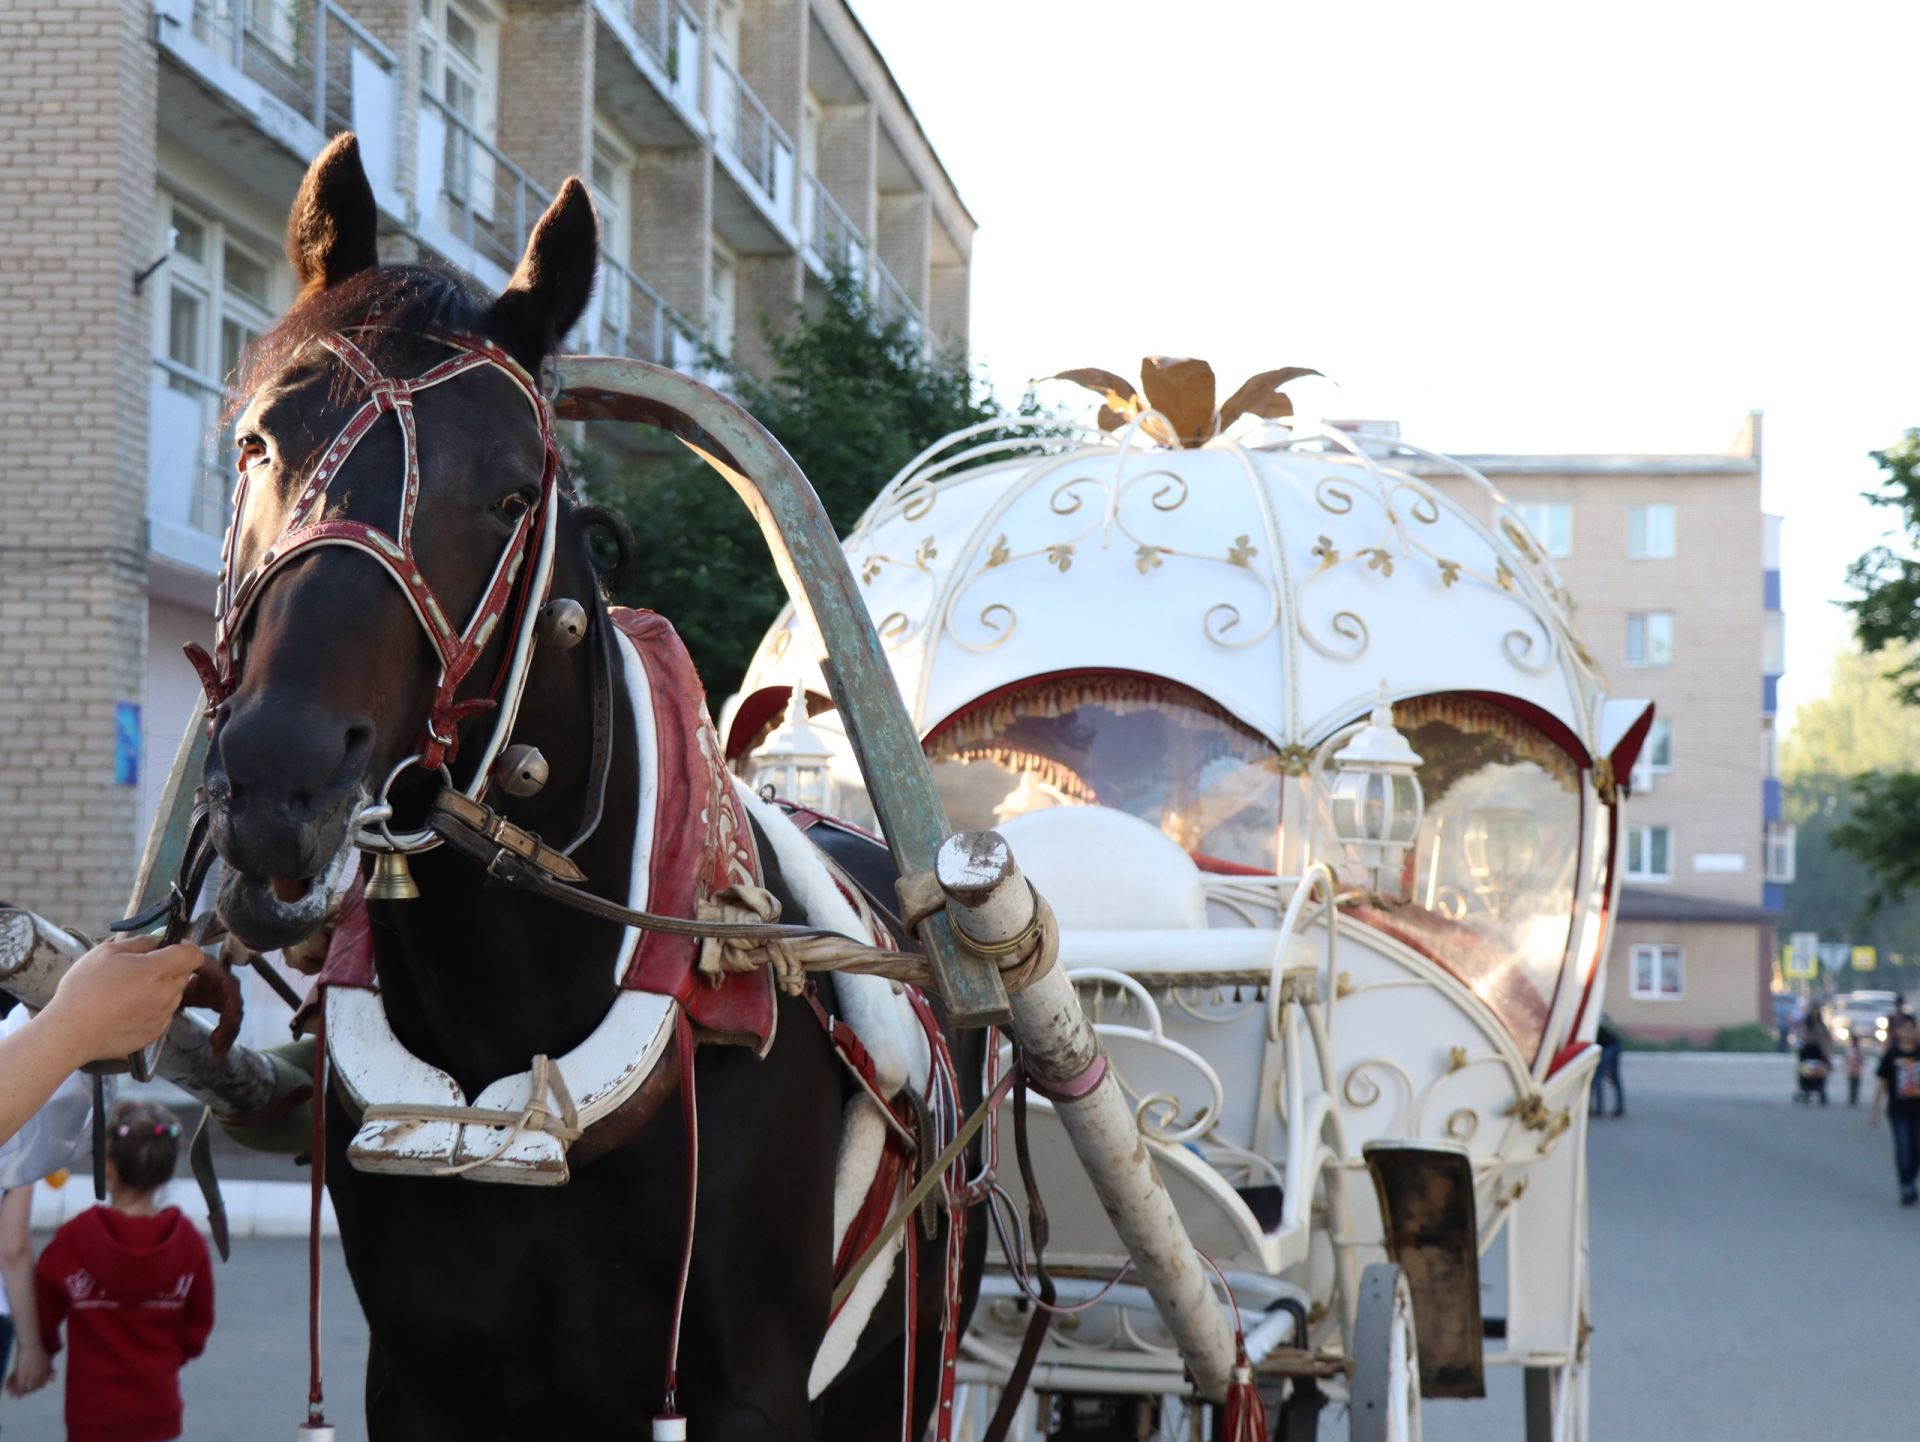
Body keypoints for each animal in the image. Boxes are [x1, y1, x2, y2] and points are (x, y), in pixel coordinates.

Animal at [206, 129, 990, 1436]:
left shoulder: (750, 1382)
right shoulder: (419, 1375)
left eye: (512, 492)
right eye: (259, 441)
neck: (507, 1012)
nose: (279, 778)